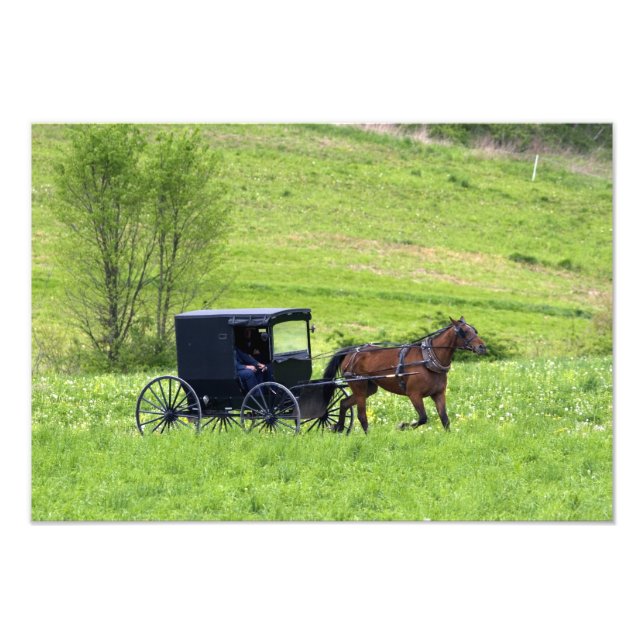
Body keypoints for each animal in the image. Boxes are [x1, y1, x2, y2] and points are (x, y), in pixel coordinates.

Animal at [321, 317, 486, 434]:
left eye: (475, 330)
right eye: (464, 331)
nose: (482, 347)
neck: (428, 360)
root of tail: (351, 351)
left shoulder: (439, 394)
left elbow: (445, 419)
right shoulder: (414, 394)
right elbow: (423, 418)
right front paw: (402, 426)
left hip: (369, 388)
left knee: (344, 403)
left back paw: (338, 427)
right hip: (359, 386)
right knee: (362, 416)